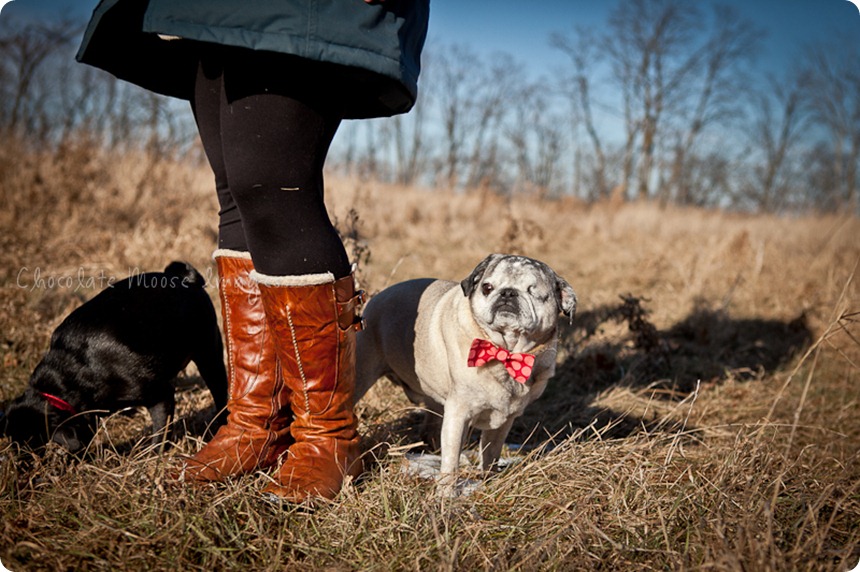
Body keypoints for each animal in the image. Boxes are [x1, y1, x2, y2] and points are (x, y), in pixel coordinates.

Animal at [0, 262, 228, 454]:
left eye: (29, 446)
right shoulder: (87, 413)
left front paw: (152, 457)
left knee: (220, 392)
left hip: (209, 356)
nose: (18, 460)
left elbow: (160, 431)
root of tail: (184, 279)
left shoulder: (159, 395)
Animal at [356, 252, 576, 494]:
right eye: (487, 287)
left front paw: (488, 480)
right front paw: (447, 495)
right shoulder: (458, 414)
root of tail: (375, 300)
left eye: (533, 292)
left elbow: (490, 453)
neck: (505, 352)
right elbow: (451, 461)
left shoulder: (504, 421)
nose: (508, 293)